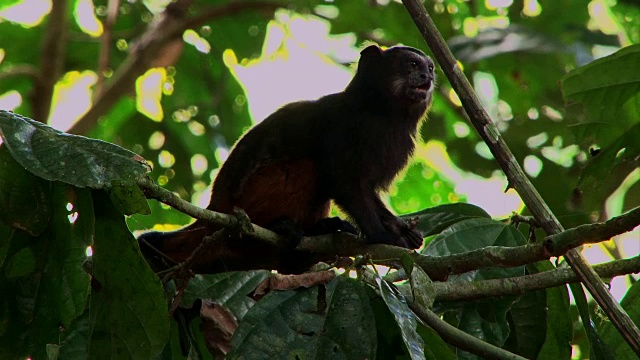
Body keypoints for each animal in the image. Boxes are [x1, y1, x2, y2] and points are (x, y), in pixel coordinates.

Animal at [139, 45, 436, 272]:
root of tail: (215, 208)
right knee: (308, 166)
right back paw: (277, 226)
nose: (427, 76)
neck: (381, 113)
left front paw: (400, 228)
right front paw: (381, 236)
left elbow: (366, 189)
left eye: (430, 68)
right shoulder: (343, 127)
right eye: (411, 65)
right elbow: (344, 181)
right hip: (244, 202)